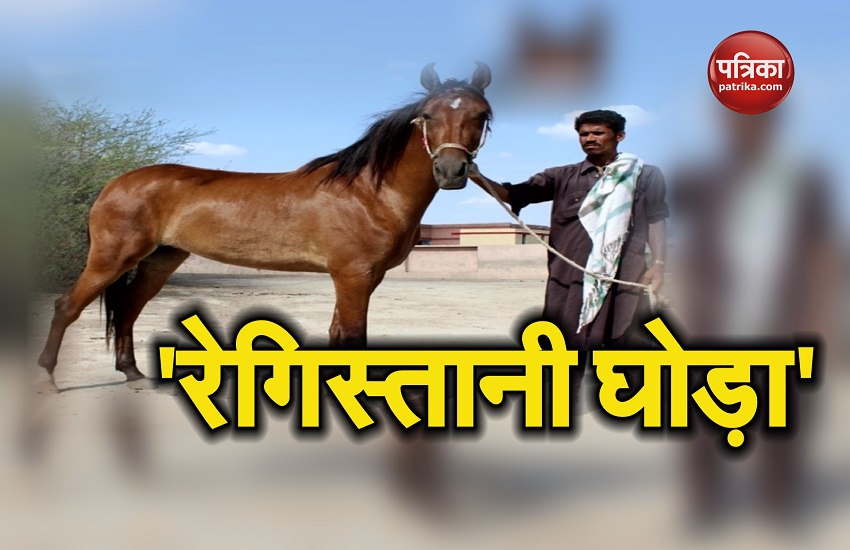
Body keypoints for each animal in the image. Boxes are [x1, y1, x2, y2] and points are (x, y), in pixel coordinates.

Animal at [37, 63, 492, 390]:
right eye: (427, 115)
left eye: (482, 115)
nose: (451, 170)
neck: (368, 191)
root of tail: (113, 184)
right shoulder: (353, 275)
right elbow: (352, 335)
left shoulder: (362, 277)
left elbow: (337, 332)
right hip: (111, 257)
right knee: (67, 307)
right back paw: (47, 378)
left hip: (159, 260)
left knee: (129, 309)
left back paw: (132, 373)